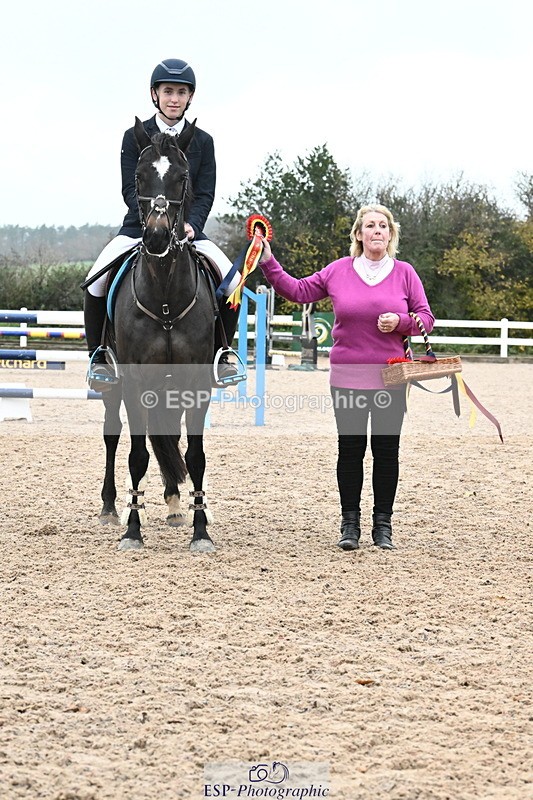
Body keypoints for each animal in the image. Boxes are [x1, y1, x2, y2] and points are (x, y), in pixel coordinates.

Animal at [96, 117, 216, 553]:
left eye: (183, 176)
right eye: (138, 176)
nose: (159, 237)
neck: (164, 293)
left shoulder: (196, 384)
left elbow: (194, 455)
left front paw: (201, 531)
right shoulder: (134, 382)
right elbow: (136, 455)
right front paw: (133, 531)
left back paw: (175, 505)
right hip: (112, 383)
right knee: (112, 434)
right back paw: (110, 507)